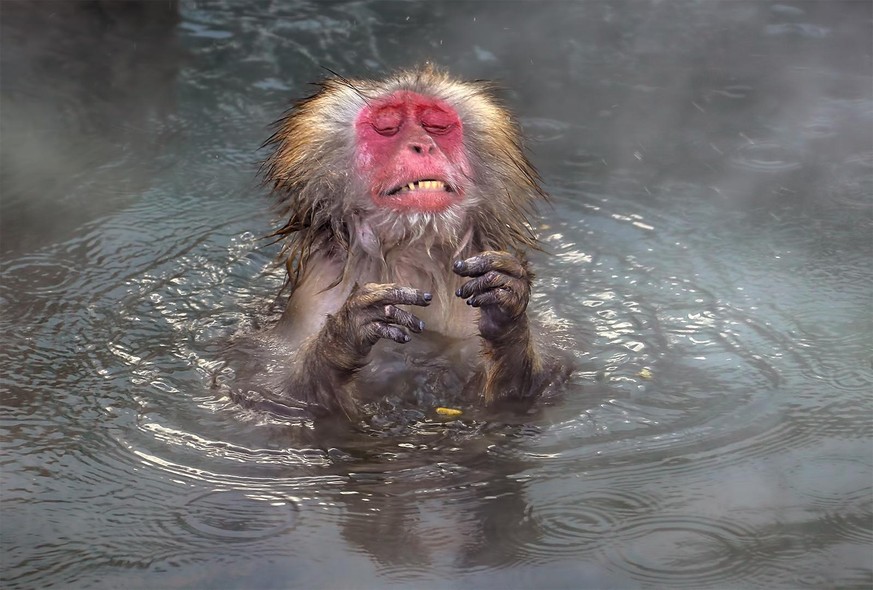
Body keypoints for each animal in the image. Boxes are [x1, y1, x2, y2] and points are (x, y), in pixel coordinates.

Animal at [245, 67, 568, 424]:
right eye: (387, 126)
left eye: (436, 125)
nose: (422, 146)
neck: (411, 256)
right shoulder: (314, 293)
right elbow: (276, 395)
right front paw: (348, 331)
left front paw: (507, 304)